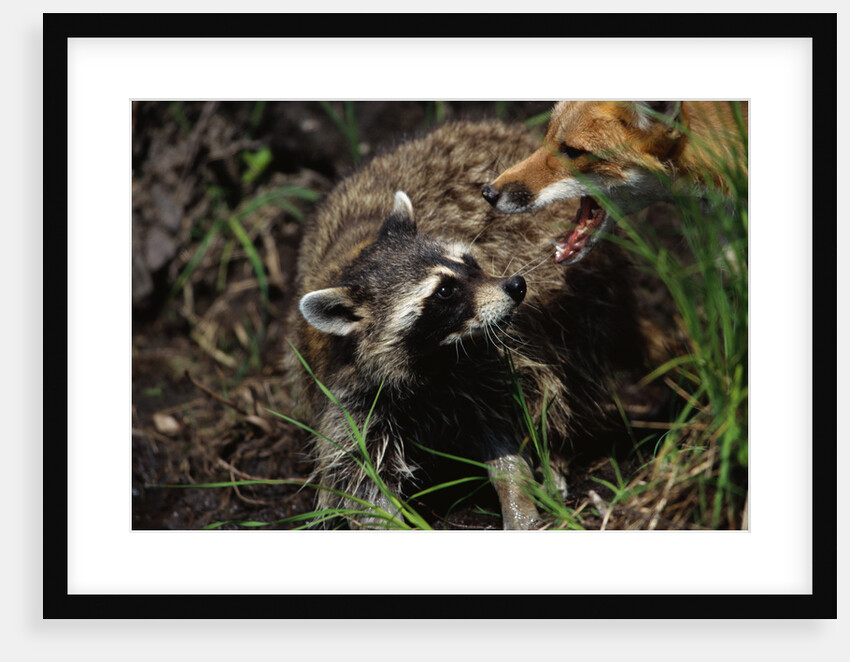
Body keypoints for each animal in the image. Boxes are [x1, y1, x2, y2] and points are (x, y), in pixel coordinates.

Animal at [288, 120, 659, 529]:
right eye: (445, 291)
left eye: (469, 261)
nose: (516, 285)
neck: (433, 360)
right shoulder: (349, 395)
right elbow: (361, 480)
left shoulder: (482, 364)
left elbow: (503, 424)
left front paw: (518, 494)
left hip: (584, 293)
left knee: (560, 370)